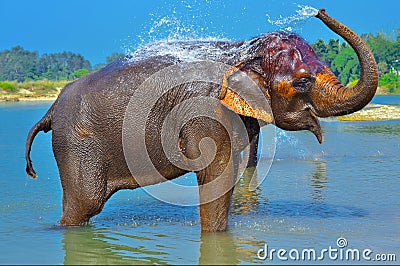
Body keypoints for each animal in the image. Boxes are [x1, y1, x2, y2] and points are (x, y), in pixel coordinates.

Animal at [25, 9, 378, 232]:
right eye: (303, 81)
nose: (318, 10)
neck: (240, 51)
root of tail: (51, 110)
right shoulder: (204, 114)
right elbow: (216, 174)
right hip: (77, 145)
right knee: (85, 204)